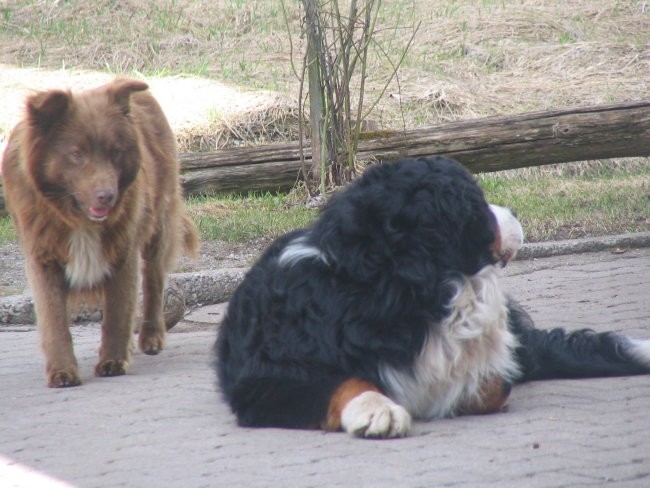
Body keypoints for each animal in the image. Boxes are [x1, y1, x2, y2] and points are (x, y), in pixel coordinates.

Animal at [1, 78, 197, 386]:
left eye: (115, 151)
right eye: (76, 154)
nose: (108, 196)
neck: (77, 218)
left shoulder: (123, 251)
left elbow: (118, 311)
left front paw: (113, 361)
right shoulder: (43, 255)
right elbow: (53, 317)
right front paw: (63, 371)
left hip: (159, 223)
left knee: (153, 281)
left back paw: (151, 337)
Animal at [215, 156, 648, 438]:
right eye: (479, 204)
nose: (514, 212)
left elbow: (491, 384)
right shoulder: (266, 378)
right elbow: (342, 383)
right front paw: (378, 409)